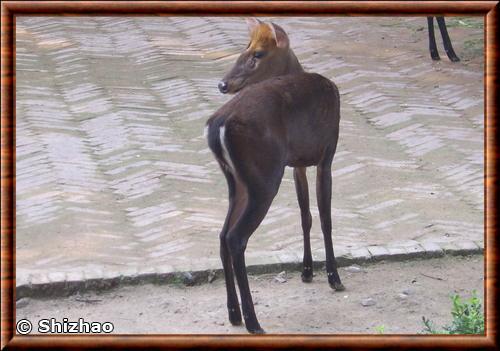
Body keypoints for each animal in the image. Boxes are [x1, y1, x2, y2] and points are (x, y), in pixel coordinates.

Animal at [204, 19, 344, 336]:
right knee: (235, 237)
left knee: (221, 234)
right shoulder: (328, 153)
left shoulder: (297, 164)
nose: (222, 84)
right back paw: (253, 322)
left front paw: (307, 271)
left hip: (238, 181)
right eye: (247, 48)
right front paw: (334, 277)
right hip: (264, 177)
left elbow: (305, 216)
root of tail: (218, 125)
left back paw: (234, 314)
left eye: (257, 53)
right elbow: (326, 217)